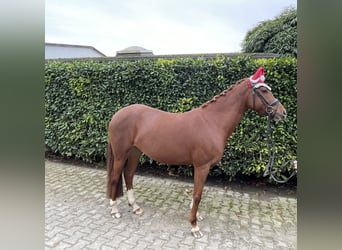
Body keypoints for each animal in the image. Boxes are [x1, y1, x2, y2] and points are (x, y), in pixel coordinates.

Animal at [106, 67, 286, 237]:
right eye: (263, 91)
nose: (283, 113)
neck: (212, 122)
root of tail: (117, 115)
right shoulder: (202, 166)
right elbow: (198, 195)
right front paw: (194, 226)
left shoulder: (200, 167)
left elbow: (196, 193)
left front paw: (196, 216)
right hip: (121, 154)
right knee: (115, 177)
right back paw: (114, 210)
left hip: (135, 152)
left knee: (128, 175)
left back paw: (135, 207)